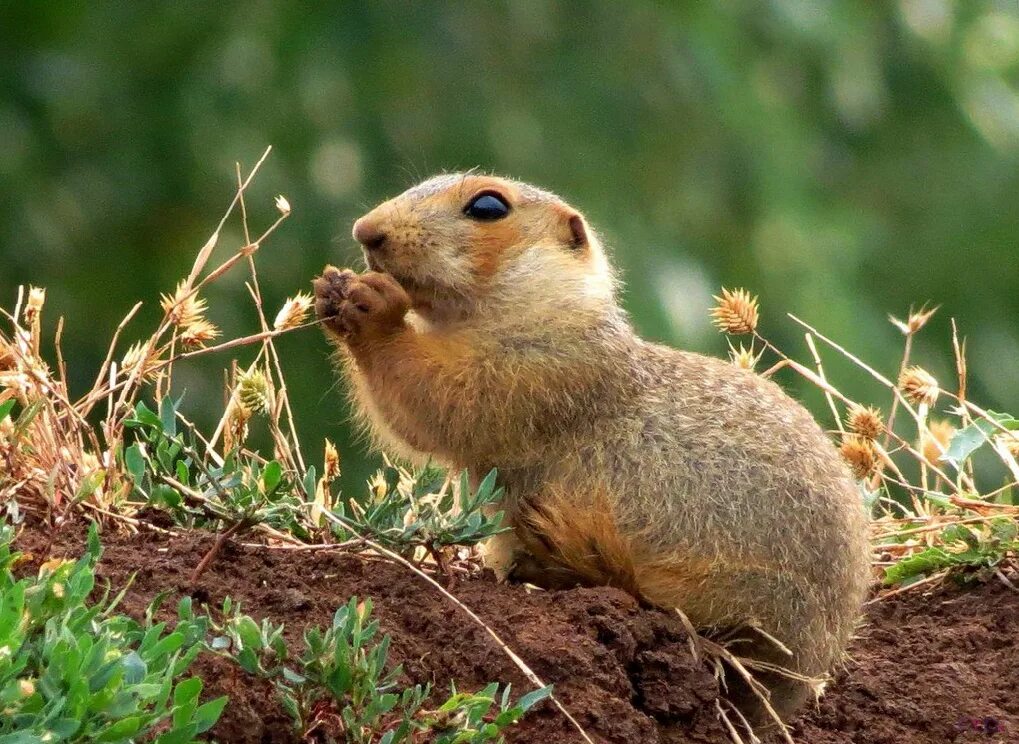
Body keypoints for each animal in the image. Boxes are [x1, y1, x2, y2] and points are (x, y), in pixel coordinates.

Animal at [313, 174, 872, 725]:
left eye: (488, 206)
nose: (365, 230)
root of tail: (802, 683)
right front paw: (329, 290)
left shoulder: (542, 370)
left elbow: (446, 395)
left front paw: (372, 306)